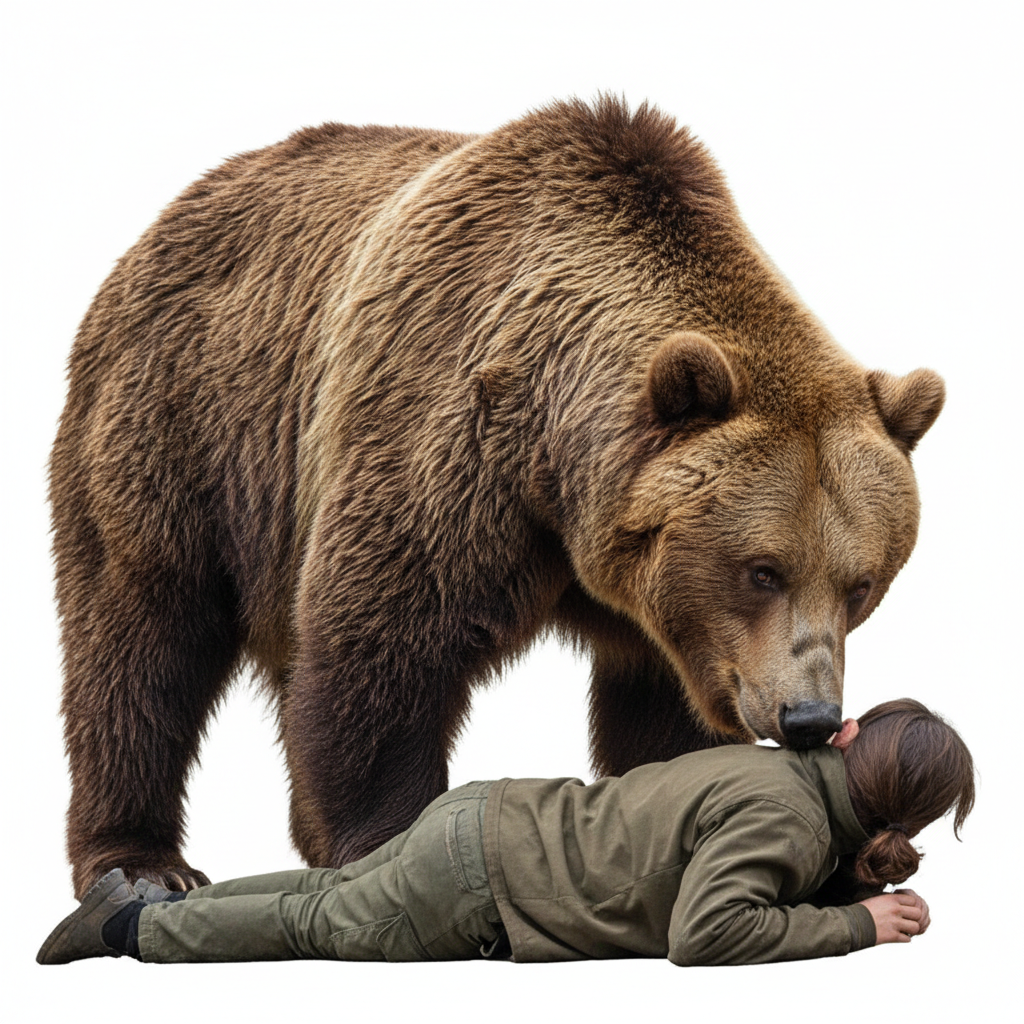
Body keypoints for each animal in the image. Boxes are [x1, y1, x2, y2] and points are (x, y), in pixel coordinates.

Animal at [50, 97, 945, 897]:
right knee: (140, 631)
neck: (559, 465)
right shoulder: (446, 437)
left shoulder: (667, 617)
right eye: (763, 570)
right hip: (185, 417)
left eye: (861, 583)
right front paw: (381, 842)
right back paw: (139, 865)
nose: (809, 718)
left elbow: (657, 713)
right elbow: (382, 645)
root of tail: (180, 204)